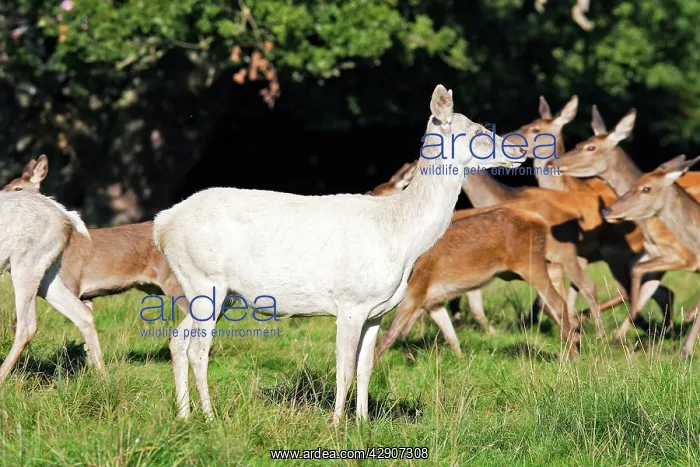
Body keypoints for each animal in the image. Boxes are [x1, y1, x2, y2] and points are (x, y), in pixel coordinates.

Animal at [0, 191, 105, 383]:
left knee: (27, 326)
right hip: (47, 275)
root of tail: (66, 216)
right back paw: (103, 379)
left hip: (25, 266)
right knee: (83, 314)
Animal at [151, 85, 532, 424]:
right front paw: (337, 424)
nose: (518, 150)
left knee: (177, 340)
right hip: (204, 279)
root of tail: (162, 223)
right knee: (198, 348)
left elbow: (366, 367)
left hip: (216, 291)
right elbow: (345, 367)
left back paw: (184, 415)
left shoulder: (377, 311)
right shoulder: (350, 301)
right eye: (478, 130)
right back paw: (209, 417)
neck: (403, 238)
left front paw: (362, 423)